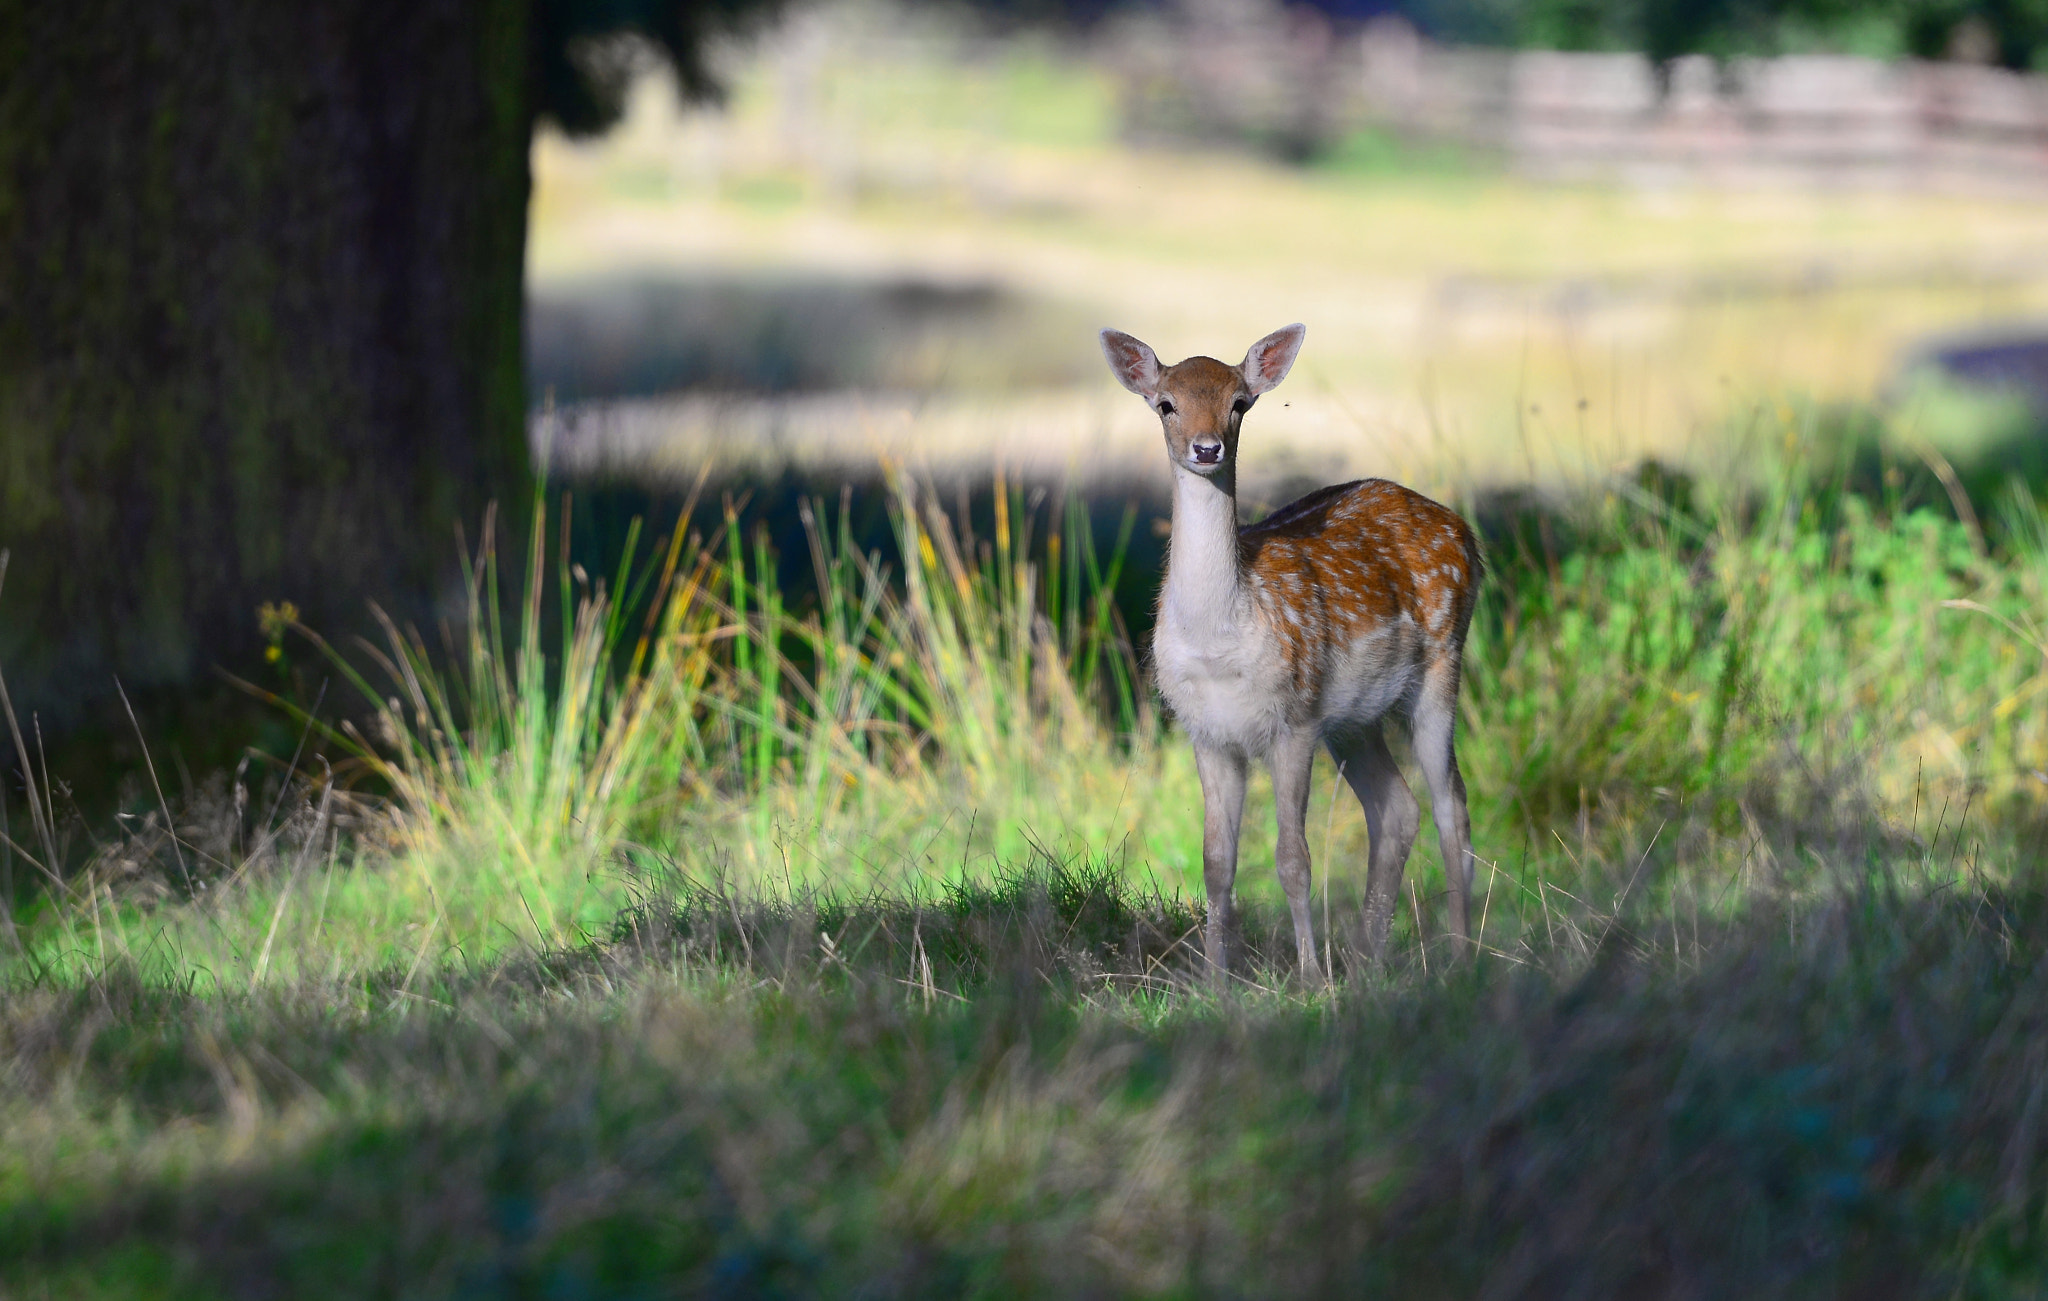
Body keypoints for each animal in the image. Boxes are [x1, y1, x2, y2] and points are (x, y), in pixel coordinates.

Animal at [1105, 325, 1490, 987]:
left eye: (1239, 402)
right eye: (1166, 403)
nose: (1207, 448)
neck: (1220, 643)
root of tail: (1465, 532)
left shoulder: (1294, 719)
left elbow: (1292, 858)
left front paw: (1310, 979)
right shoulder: (1206, 731)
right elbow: (1216, 862)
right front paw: (1215, 982)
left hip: (1442, 662)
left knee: (1452, 809)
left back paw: (1461, 956)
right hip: (1354, 719)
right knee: (1397, 809)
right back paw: (1367, 960)